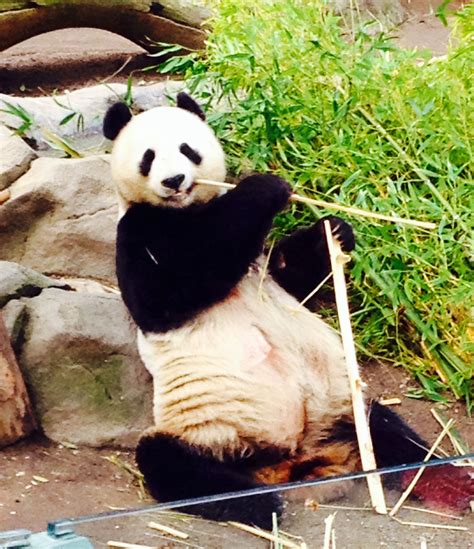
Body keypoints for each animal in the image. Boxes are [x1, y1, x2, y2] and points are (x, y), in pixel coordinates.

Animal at [104, 93, 474, 528]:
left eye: (186, 149)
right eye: (148, 157)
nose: (174, 180)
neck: (186, 212)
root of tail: (295, 464)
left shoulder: (264, 266)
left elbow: (291, 274)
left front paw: (334, 230)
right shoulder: (137, 232)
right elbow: (163, 294)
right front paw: (265, 188)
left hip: (339, 409)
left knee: (387, 431)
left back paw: (450, 483)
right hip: (206, 427)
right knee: (169, 462)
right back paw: (256, 503)